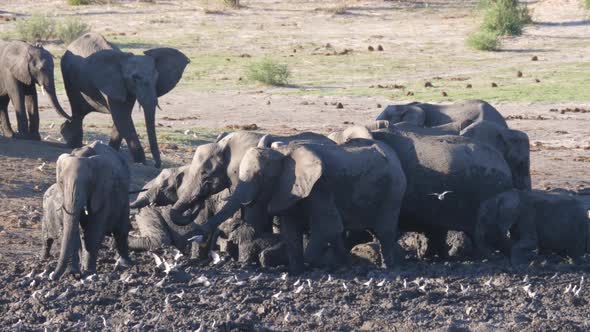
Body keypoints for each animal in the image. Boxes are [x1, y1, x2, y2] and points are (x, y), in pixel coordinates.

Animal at [50, 142, 132, 280]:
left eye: (89, 183)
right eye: (60, 182)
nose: (51, 277)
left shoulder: (103, 192)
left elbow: (93, 231)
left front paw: (89, 272)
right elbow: (75, 232)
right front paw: (72, 273)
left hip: (125, 197)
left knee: (121, 230)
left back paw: (125, 265)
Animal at [60, 32, 190, 167]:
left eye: (156, 77)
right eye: (135, 78)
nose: (156, 165)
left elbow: (122, 118)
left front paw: (112, 152)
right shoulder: (111, 84)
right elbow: (122, 117)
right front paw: (141, 162)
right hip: (69, 77)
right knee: (77, 109)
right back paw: (72, 142)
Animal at [194, 139, 408, 274]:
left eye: (261, 176)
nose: (199, 233)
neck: (284, 153)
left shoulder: (319, 187)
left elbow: (328, 227)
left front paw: (306, 264)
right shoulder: (288, 190)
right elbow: (291, 230)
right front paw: (295, 271)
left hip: (393, 190)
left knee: (384, 231)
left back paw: (387, 268)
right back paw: (346, 264)